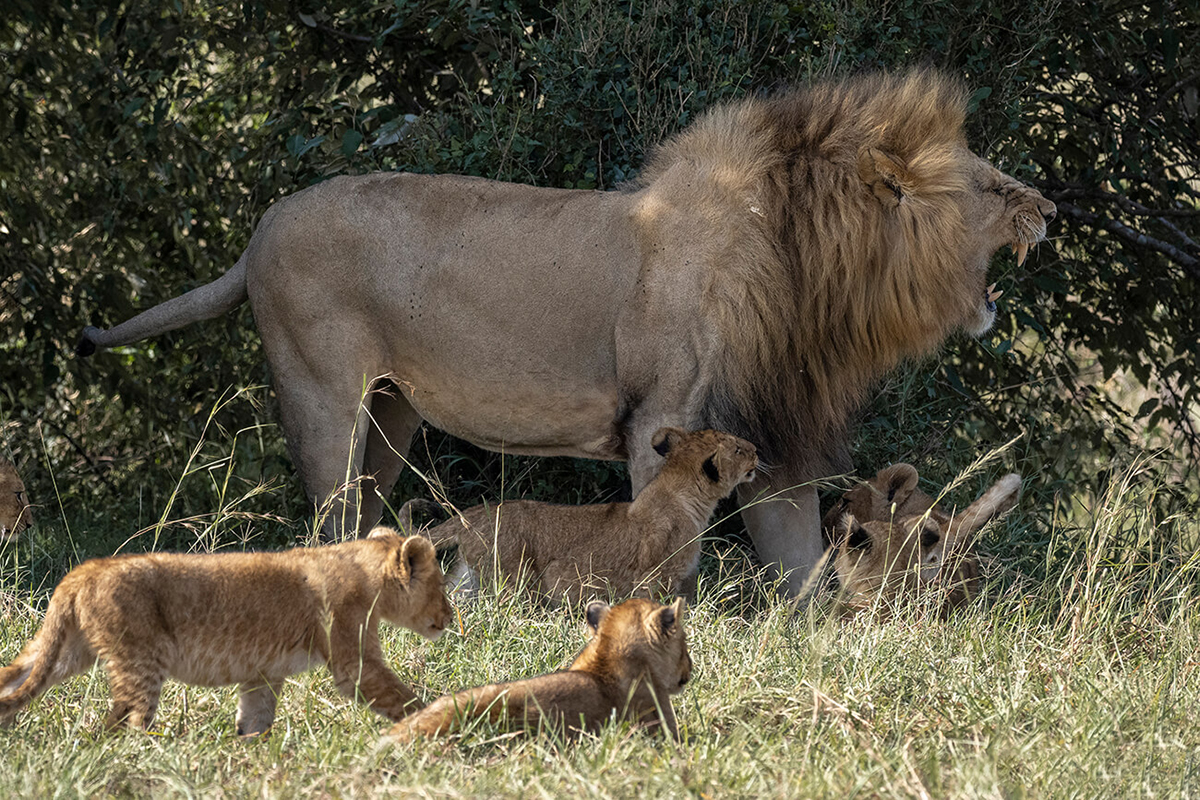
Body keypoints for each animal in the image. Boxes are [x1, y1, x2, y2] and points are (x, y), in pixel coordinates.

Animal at [0, 528, 452, 735]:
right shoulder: (353, 660)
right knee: (129, 719)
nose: (450, 617)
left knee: (22, 677)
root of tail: (84, 571)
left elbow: (255, 717)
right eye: (442, 585)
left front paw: (253, 752)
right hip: (142, 658)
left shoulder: (263, 674)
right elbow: (399, 696)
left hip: (69, 651)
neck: (364, 567)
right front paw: (438, 721)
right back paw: (147, 751)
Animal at [414, 427, 757, 605]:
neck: (684, 495)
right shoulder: (655, 576)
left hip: (468, 576)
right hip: (515, 578)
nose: (756, 449)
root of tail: (471, 516)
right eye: (738, 450)